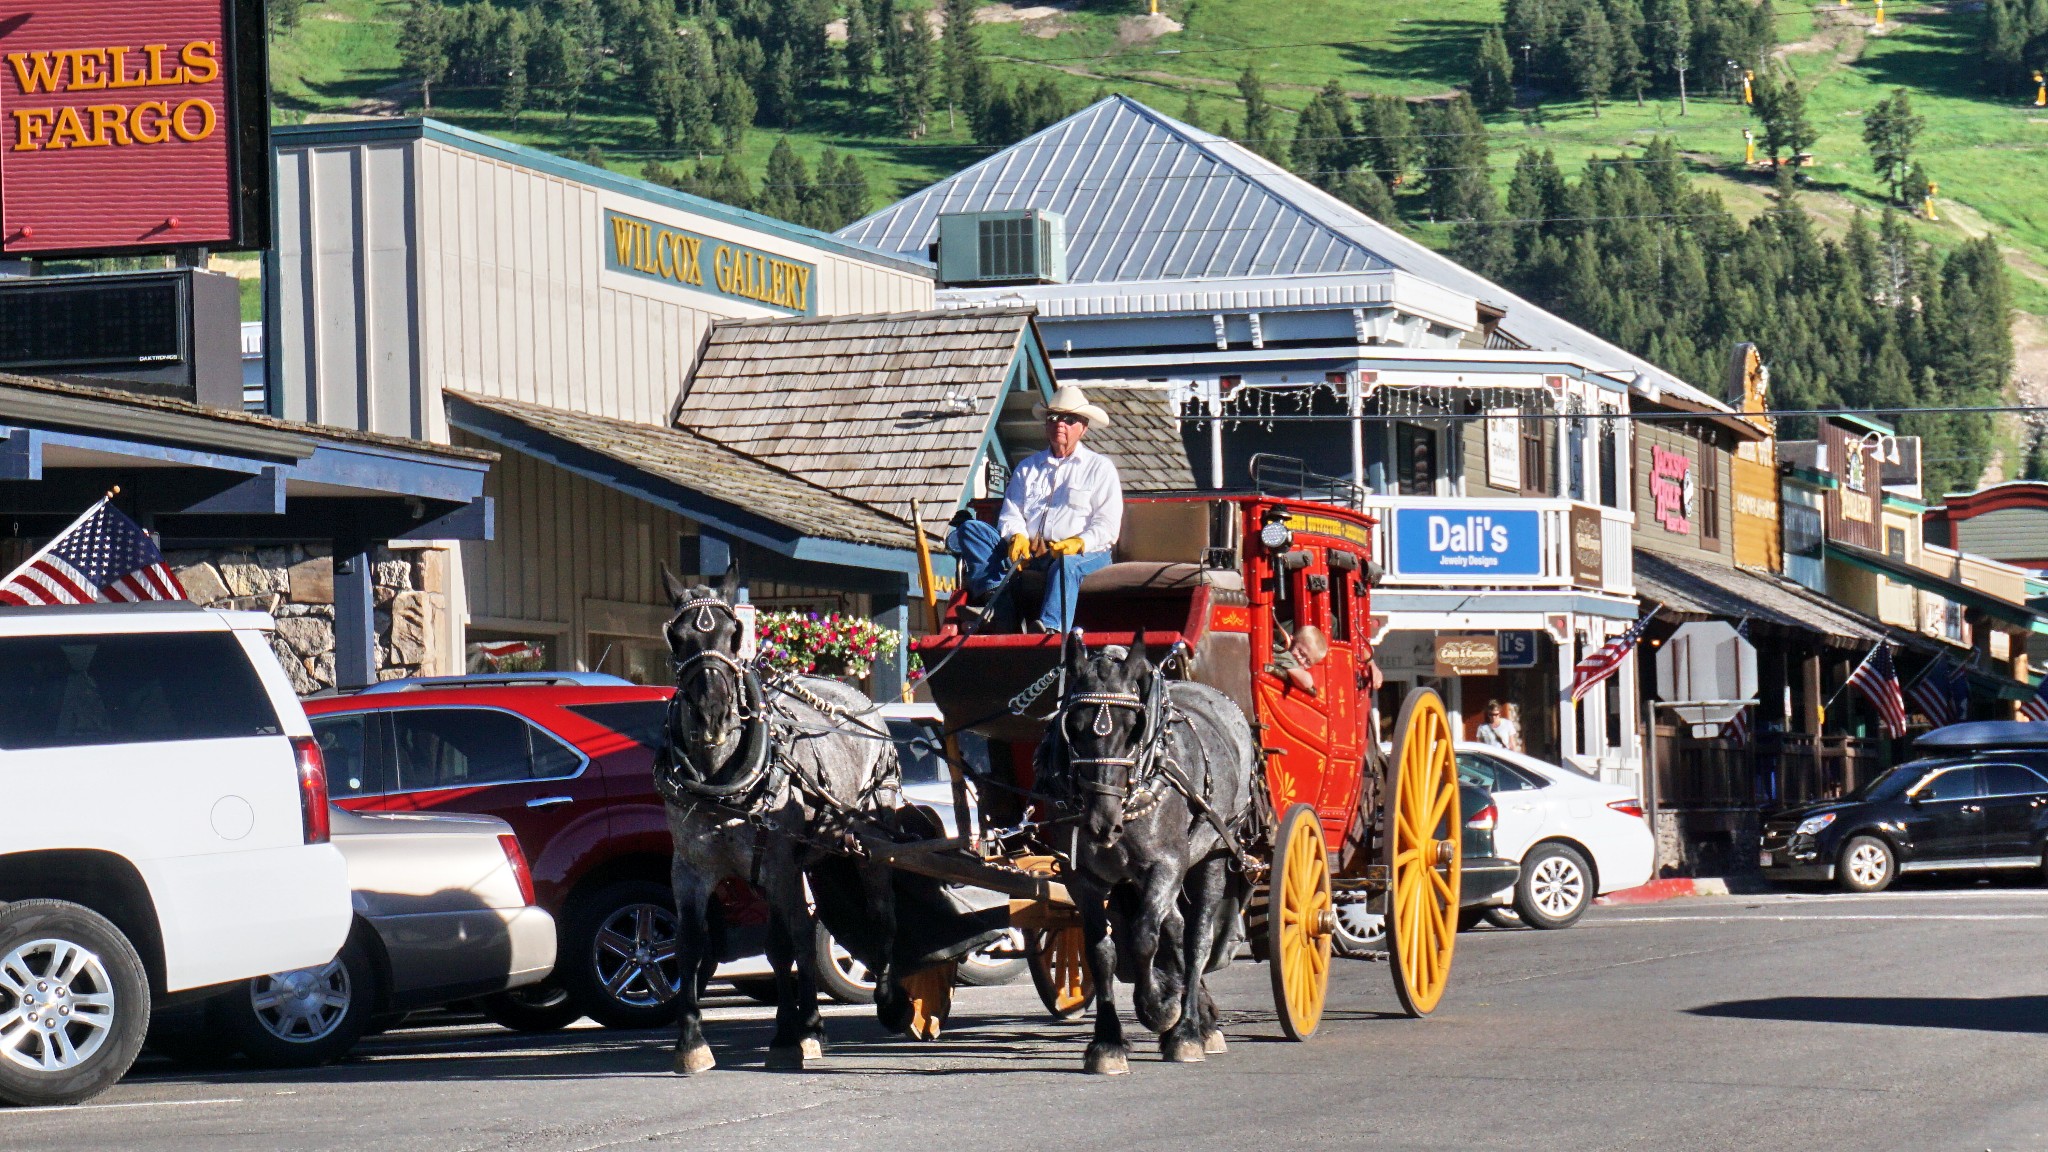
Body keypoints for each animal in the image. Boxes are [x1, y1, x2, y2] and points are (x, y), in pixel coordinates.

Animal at [659, 569, 909, 1074]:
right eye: (678, 637)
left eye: (734, 634)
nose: (713, 713)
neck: (722, 783)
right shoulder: (689, 868)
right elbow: (690, 945)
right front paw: (691, 1042)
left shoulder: (775, 866)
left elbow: (777, 945)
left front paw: (784, 1039)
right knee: (804, 930)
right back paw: (812, 1025)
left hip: (871, 836)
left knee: (880, 916)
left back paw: (885, 1002)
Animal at [1040, 631, 1261, 1074]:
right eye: (1073, 726)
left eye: (1132, 728)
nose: (1101, 824)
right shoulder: (1083, 879)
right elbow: (1100, 951)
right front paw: (1107, 1043)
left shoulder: (1167, 864)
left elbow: (1144, 937)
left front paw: (1159, 1009)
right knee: (1174, 927)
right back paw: (1201, 1016)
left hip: (1213, 853)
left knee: (1195, 937)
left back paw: (1190, 1029)